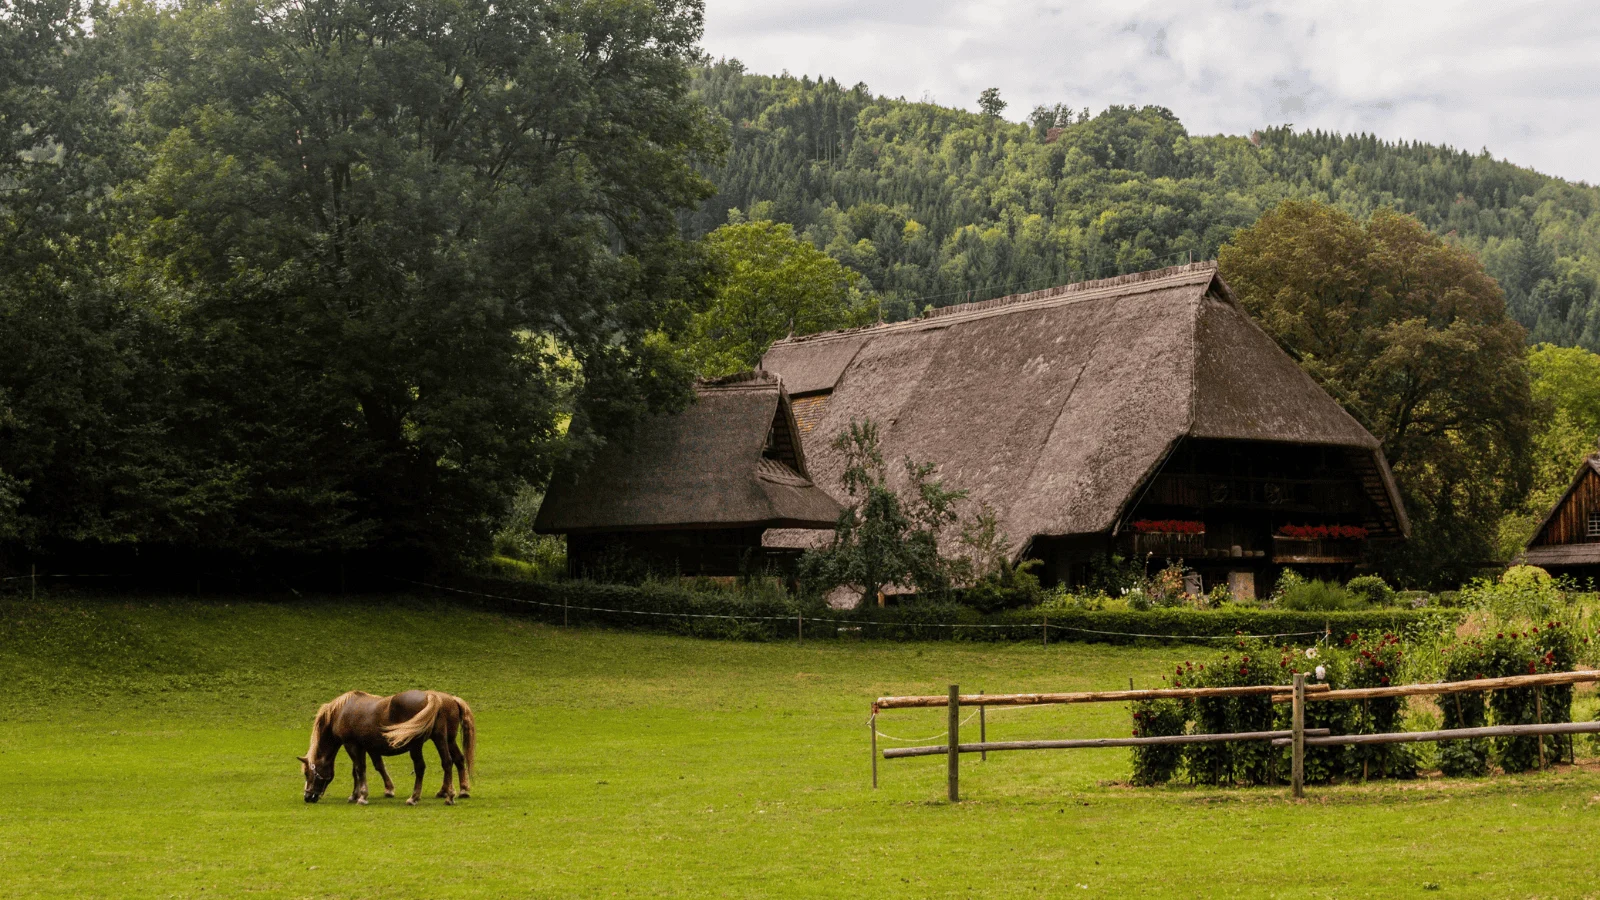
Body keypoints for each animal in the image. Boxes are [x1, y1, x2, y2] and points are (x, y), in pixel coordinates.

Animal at [299, 685, 473, 807]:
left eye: (308, 773)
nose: (307, 797)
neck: (341, 712)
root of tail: (431, 696)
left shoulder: (352, 745)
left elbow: (360, 770)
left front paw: (362, 796)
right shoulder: (367, 747)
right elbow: (367, 769)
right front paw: (358, 794)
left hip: (416, 745)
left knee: (421, 767)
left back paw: (414, 798)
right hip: (442, 739)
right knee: (450, 761)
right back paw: (452, 793)